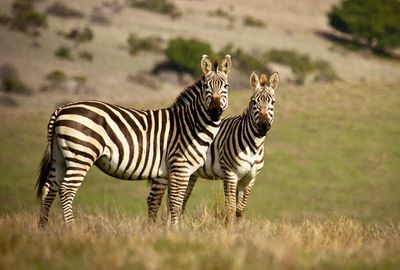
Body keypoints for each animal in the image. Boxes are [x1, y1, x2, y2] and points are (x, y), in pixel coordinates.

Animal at [36, 54, 234, 228]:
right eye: (206, 87)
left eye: (226, 86)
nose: (215, 111)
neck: (190, 124)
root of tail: (61, 109)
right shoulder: (180, 167)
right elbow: (176, 204)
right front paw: (175, 231)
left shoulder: (167, 172)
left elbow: (167, 202)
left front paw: (166, 231)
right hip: (81, 154)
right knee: (66, 190)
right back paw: (70, 228)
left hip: (59, 157)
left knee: (49, 189)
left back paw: (43, 228)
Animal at [145, 71, 280, 224]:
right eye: (254, 102)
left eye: (272, 102)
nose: (263, 126)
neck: (254, 147)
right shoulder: (230, 174)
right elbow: (231, 208)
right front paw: (229, 228)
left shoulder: (250, 179)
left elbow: (240, 209)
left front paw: (239, 228)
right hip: (163, 170)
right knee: (154, 199)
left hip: (188, 173)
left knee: (177, 200)